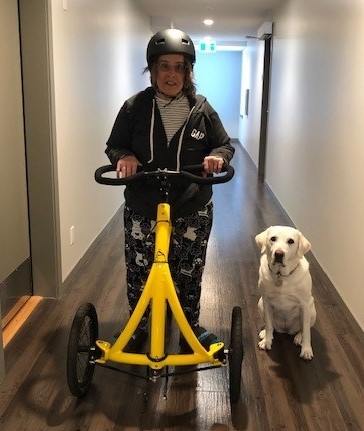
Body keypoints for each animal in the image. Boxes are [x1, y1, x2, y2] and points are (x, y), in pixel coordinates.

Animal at [255, 226, 318, 362]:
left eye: (291, 241)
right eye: (273, 238)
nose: (279, 254)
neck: (281, 276)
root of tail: (286, 330)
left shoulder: (304, 305)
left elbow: (307, 332)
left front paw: (306, 350)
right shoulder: (266, 301)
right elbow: (269, 324)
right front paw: (267, 341)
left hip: (312, 310)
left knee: (303, 328)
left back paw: (299, 337)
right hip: (260, 303)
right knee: (271, 325)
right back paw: (264, 333)